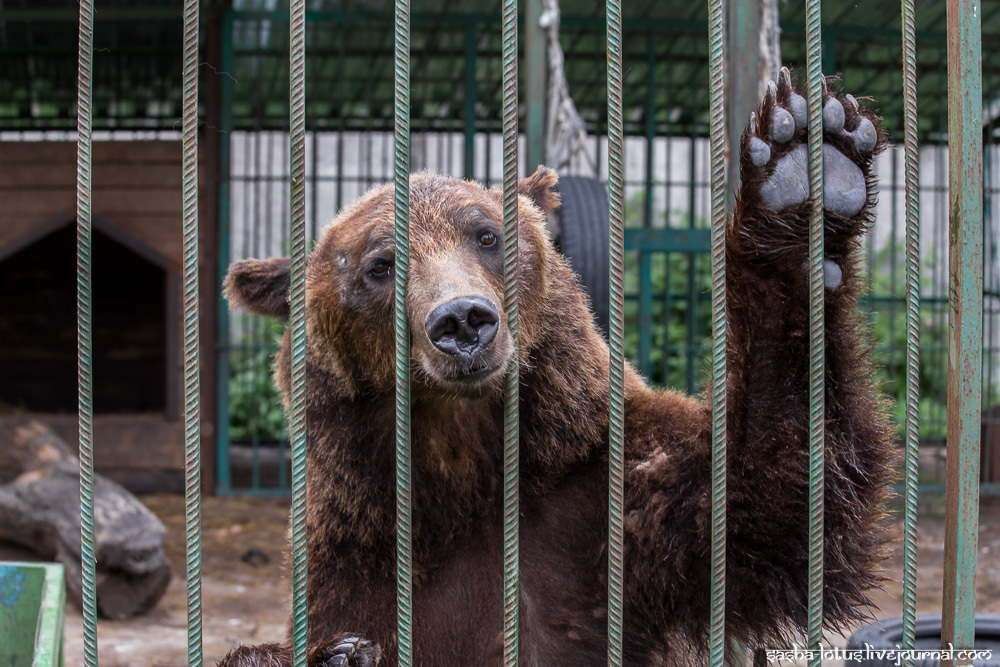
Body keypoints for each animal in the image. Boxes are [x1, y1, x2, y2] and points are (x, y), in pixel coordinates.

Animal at [217, 69, 892, 667]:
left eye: (487, 236)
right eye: (380, 266)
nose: (463, 321)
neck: (463, 467)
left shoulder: (607, 510)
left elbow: (768, 503)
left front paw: (803, 167)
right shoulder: (355, 550)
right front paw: (331, 654)